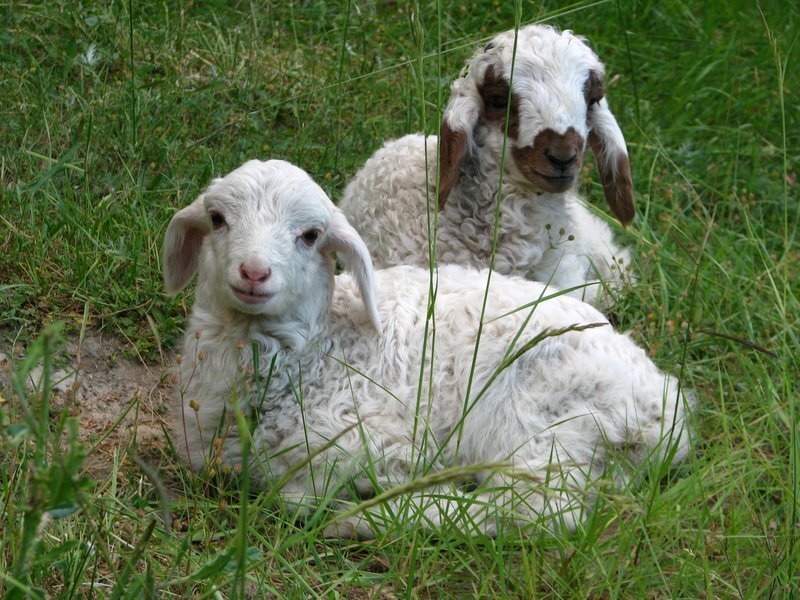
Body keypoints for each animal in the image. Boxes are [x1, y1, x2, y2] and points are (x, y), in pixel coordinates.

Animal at [163, 159, 693, 539]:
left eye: (311, 235)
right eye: (218, 219)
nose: (254, 272)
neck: (319, 350)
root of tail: (667, 409)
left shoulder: (374, 435)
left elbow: (297, 495)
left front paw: (367, 490)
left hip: (539, 414)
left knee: (540, 507)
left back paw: (373, 515)